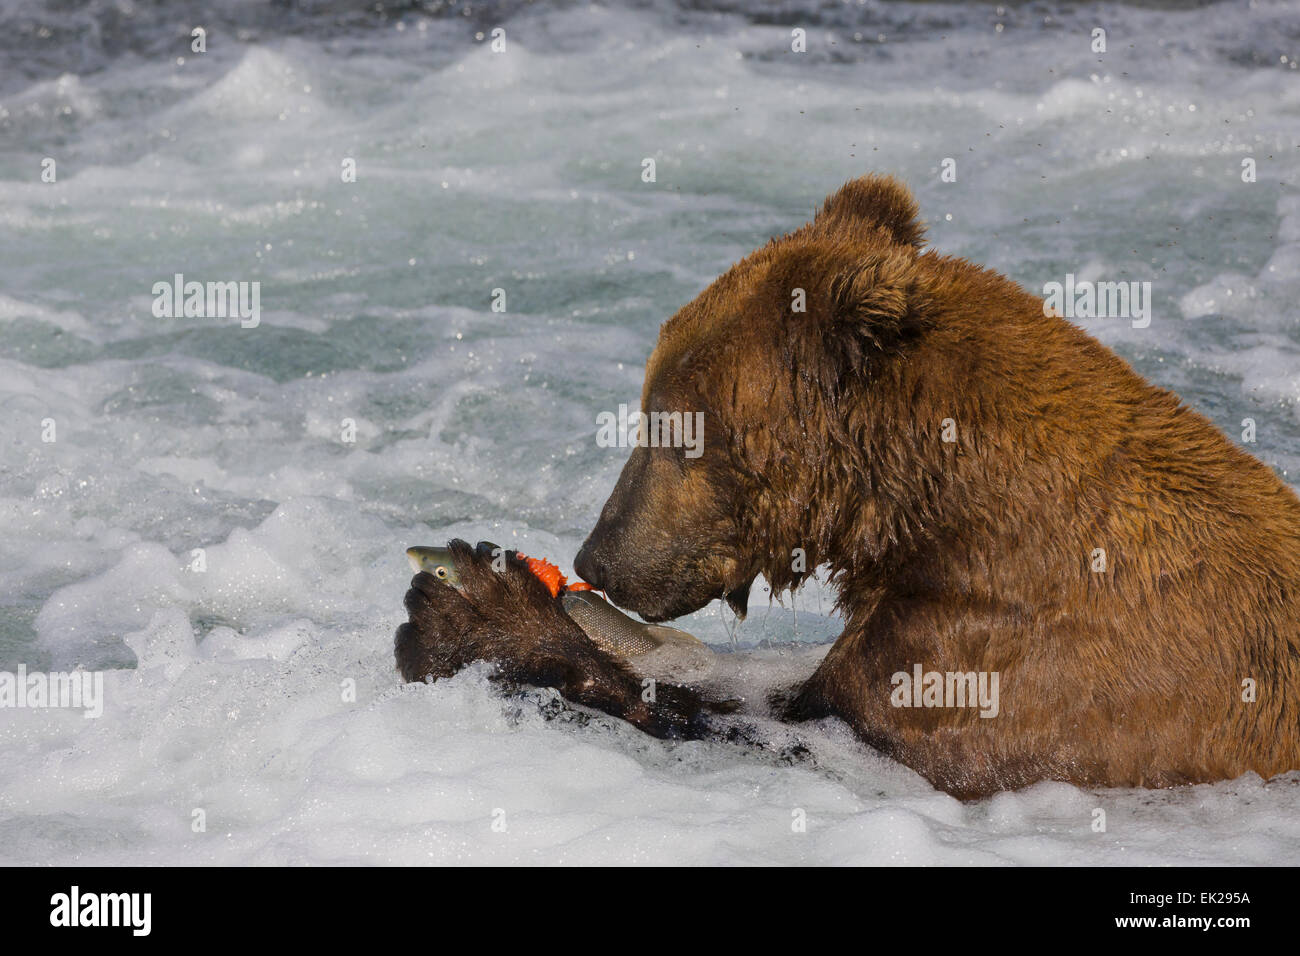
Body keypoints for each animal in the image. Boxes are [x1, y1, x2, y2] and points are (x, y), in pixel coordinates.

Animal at [395, 174, 1300, 801]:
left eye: (672, 428)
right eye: (653, 409)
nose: (599, 557)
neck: (928, 509)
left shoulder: (1007, 661)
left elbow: (795, 736)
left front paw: (468, 608)